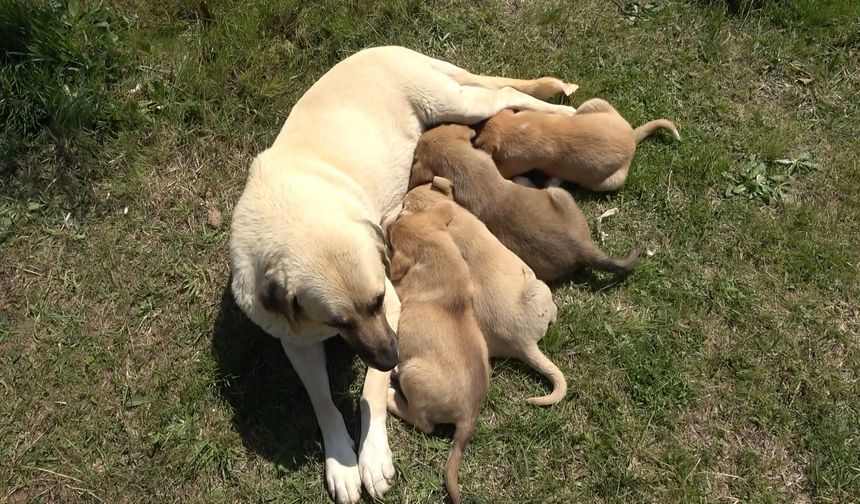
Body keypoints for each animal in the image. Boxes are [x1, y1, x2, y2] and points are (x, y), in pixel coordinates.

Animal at [384, 201, 488, 504]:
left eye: (391, 240)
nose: (390, 223)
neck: (439, 255)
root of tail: (469, 416)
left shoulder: (399, 286)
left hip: (414, 374)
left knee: (422, 422)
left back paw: (390, 396)